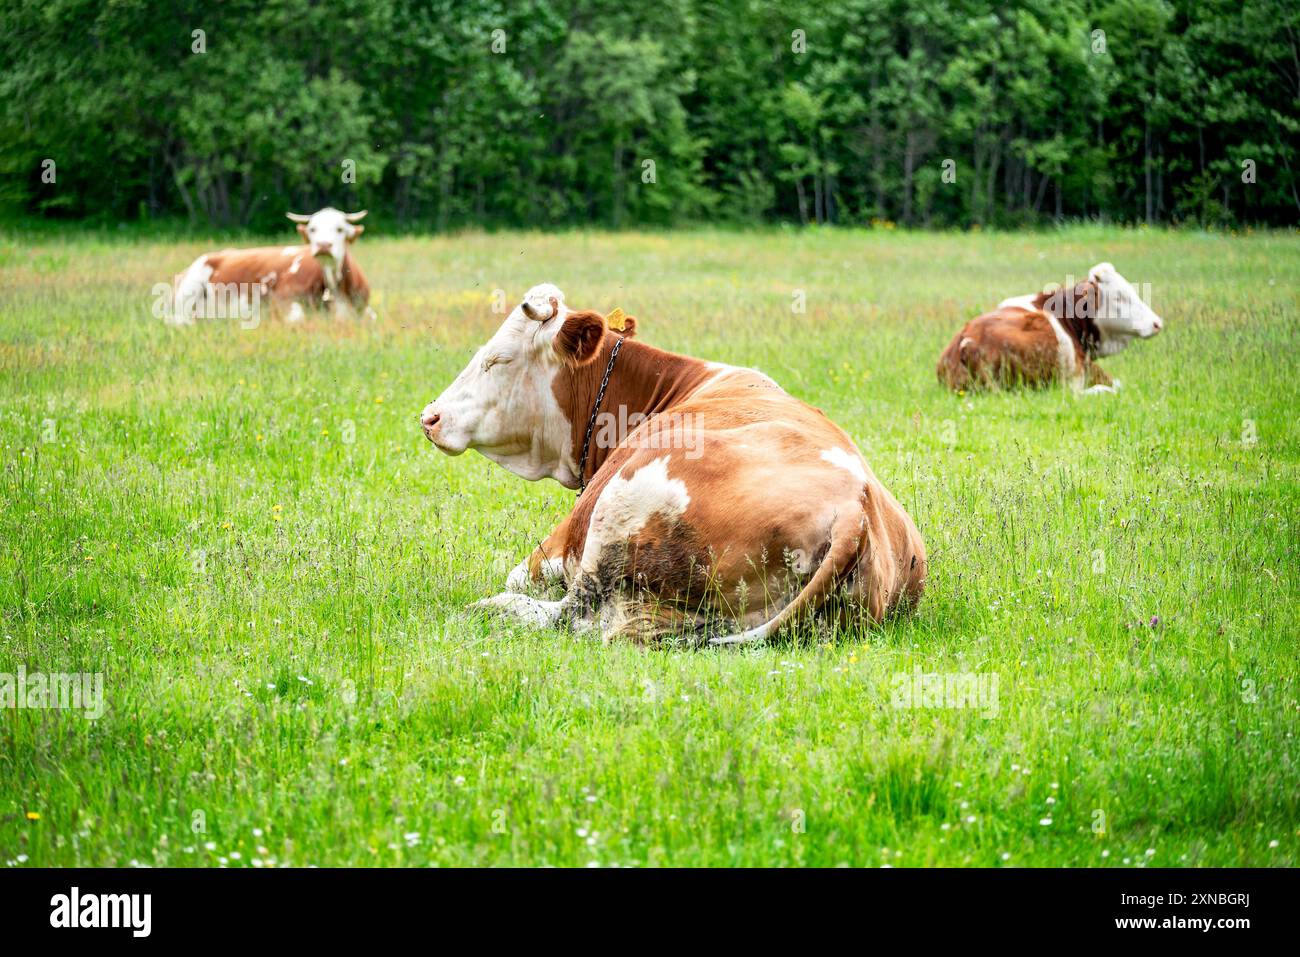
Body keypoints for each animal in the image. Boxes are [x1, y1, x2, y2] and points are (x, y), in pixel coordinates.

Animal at [419, 283, 927, 646]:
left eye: (498, 359)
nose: (430, 417)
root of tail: (854, 509)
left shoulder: (560, 543)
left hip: (619, 509)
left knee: (572, 616)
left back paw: (492, 607)